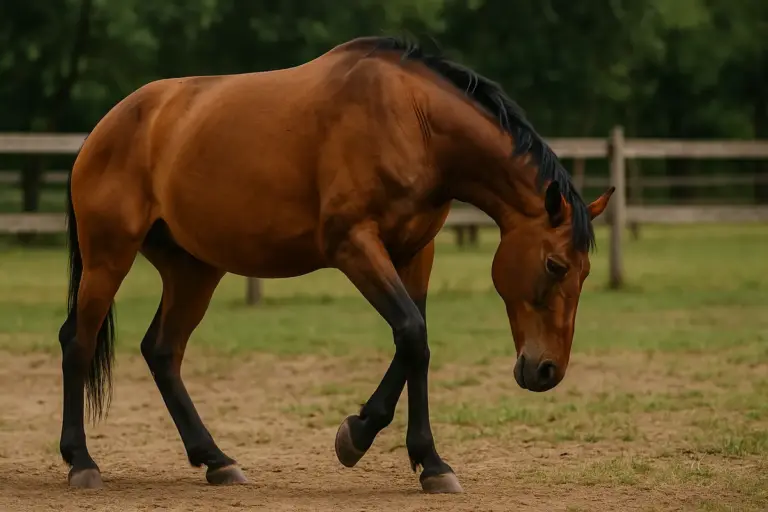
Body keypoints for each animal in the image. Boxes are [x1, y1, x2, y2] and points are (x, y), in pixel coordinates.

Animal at [58, 35, 613, 493]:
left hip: (194, 270)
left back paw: (216, 460)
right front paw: (356, 436)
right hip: (108, 258)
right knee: (78, 342)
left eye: (584, 272)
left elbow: (417, 347)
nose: (547, 371)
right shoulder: (354, 246)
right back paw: (82, 462)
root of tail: (107, 127)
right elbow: (411, 333)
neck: (415, 122)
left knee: (162, 351)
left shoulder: (415, 253)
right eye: (556, 265)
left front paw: (430, 463)